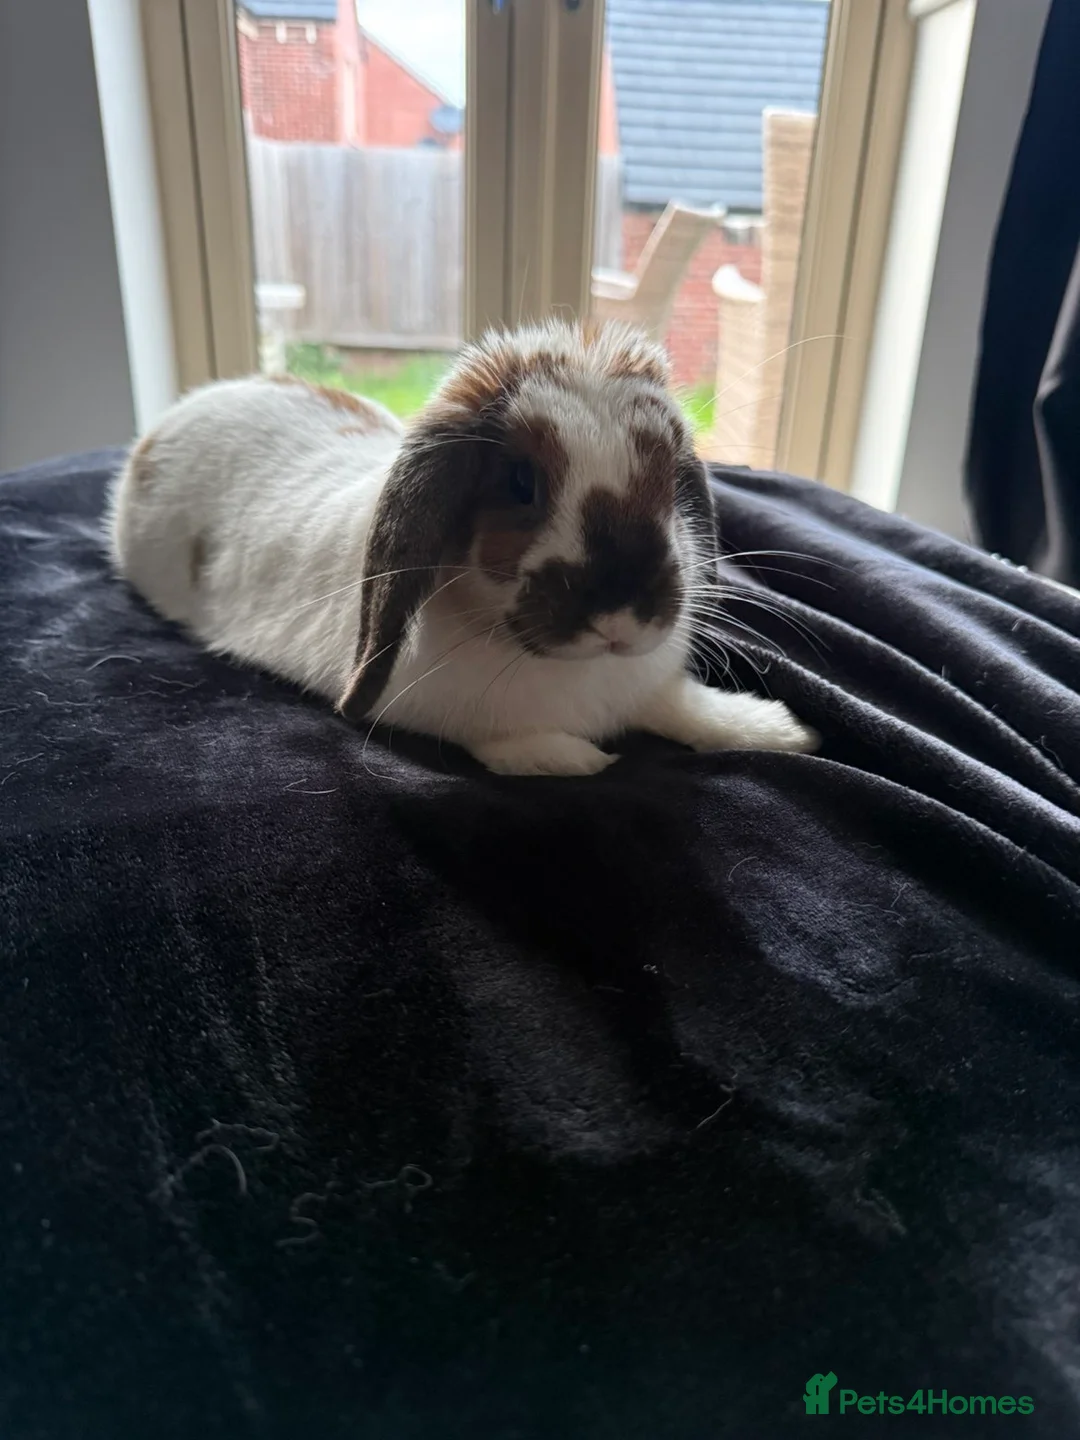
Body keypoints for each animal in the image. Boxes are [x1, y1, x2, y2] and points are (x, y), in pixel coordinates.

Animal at [108, 320, 818, 776]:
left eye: (671, 479)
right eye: (520, 483)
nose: (621, 615)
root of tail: (179, 415)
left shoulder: (651, 687)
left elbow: (682, 706)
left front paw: (782, 730)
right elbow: (506, 739)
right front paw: (571, 757)